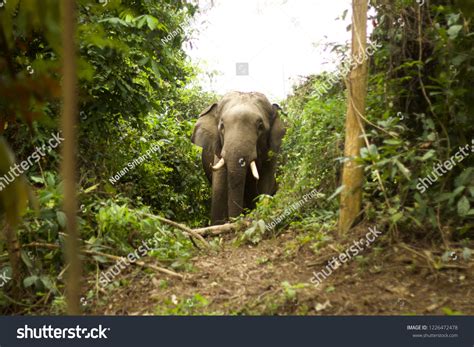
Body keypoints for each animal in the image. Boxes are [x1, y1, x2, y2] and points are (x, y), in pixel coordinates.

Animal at [192, 92, 286, 226]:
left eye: (260, 126)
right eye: (222, 126)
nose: (234, 221)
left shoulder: (271, 155)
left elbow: (264, 186)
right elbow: (219, 189)